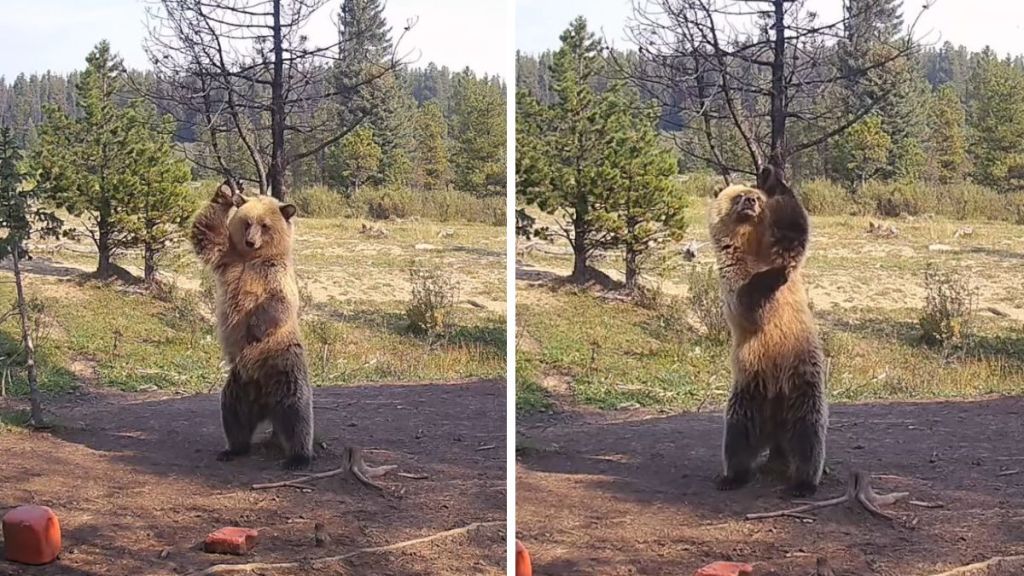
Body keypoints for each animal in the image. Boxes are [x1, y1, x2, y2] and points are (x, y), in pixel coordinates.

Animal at [190, 179, 313, 467]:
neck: (252, 259)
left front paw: (254, 329)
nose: (250, 240)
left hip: (283, 365)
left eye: (265, 225)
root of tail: (266, 405)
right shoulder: (227, 258)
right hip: (239, 385)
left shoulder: (275, 277)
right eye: (247, 222)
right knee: (233, 414)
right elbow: (206, 232)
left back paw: (298, 456)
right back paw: (233, 449)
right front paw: (225, 192)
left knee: (296, 411)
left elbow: (277, 304)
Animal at [708, 165, 827, 494]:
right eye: (736, 196)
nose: (750, 200)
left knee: (808, 435)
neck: (750, 245)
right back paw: (732, 476)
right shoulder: (731, 277)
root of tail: (775, 434)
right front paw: (770, 277)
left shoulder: (781, 250)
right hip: (749, 391)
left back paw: (803, 482)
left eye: (755, 197)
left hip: (801, 383)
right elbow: (746, 301)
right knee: (738, 436)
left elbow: (794, 227)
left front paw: (770, 174)